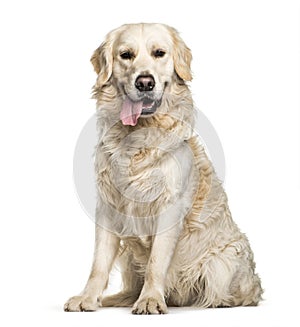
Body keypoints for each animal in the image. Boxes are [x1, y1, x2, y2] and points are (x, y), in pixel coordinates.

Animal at [63, 23, 262, 316]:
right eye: (126, 55)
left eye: (159, 53)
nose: (145, 82)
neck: (139, 137)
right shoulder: (108, 206)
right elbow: (99, 262)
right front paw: (87, 297)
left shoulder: (169, 206)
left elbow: (156, 261)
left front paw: (150, 300)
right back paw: (115, 298)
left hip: (222, 262)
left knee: (235, 294)